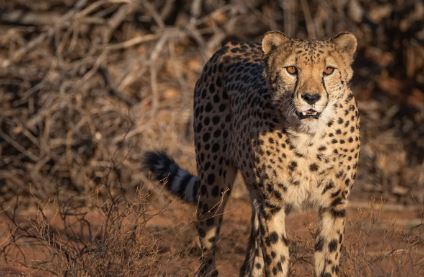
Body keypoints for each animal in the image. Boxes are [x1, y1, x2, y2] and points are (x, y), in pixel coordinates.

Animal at [144, 31, 360, 274]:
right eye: (292, 70)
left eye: (328, 70)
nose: (311, 98)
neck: (309, 136)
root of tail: (232, 44)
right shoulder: (272, 204)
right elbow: (276, 259)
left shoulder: (334, 204)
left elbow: (328, 259)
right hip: (214, 185)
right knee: (208, 246)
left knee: (252, 256)